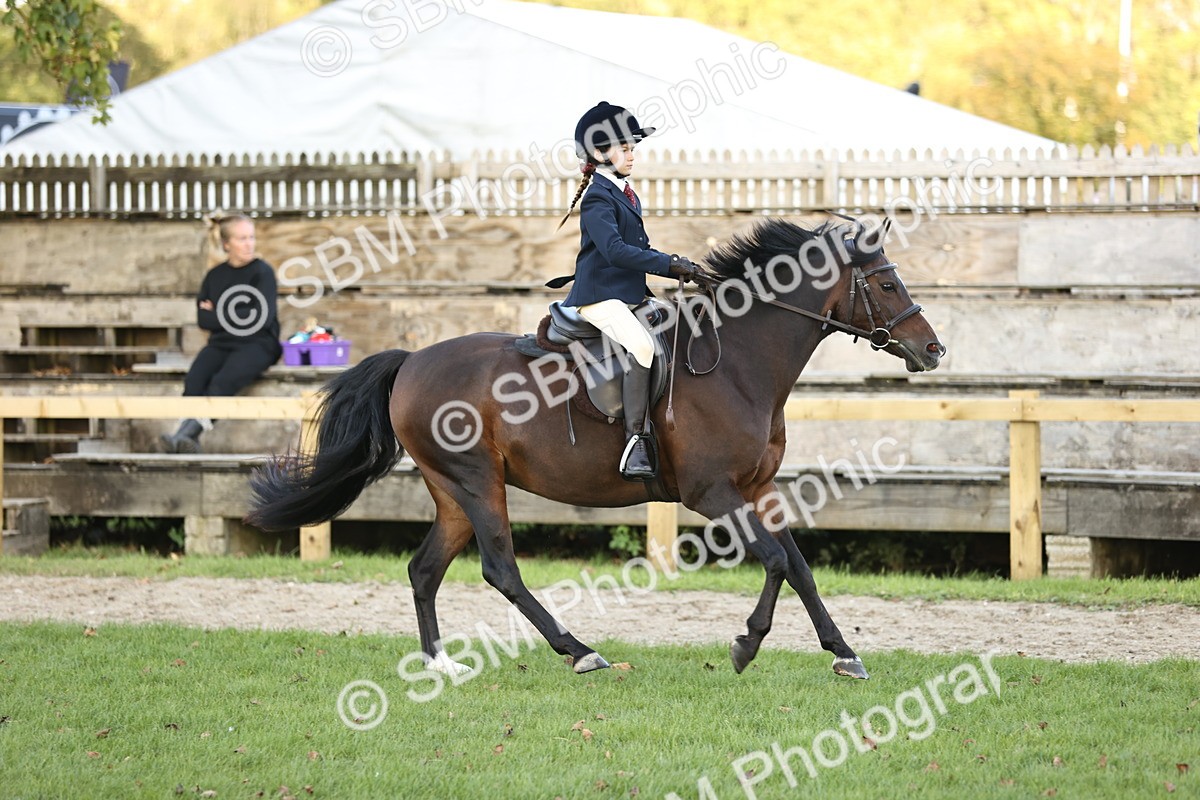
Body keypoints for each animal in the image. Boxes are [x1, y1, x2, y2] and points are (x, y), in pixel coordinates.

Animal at [245, 215, 946, 680]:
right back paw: (578, 651)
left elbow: (798, 566)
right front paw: (746, 645)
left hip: (451, 491)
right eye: (886, 284)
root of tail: (412, 360)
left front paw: (844, 653)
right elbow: (774, 562)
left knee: (424, 570)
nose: (933, 349)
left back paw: (440, 665)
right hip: (477, 482)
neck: (740, 363)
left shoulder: (758, 488)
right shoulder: (713, 493)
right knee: (500, 568)